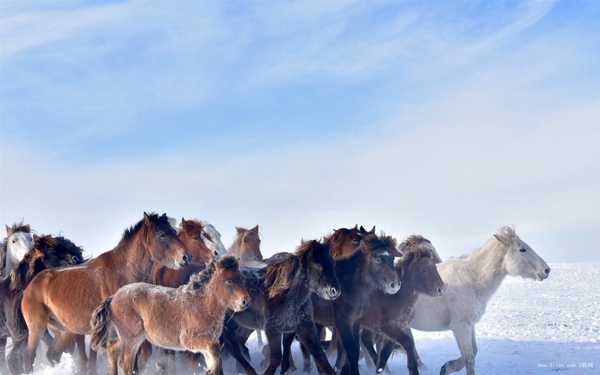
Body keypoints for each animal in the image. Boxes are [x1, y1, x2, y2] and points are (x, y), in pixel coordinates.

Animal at [21, 213, 191, 374]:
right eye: (161, 234)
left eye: (174, 231)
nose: (187, 257)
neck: (123, 272)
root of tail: (31, 285)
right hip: (37, 327)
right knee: (29, 357)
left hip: (64, 331)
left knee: (53, 355)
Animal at [88, 256, 248, 375]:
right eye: (229, 281)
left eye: (241, 278)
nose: (245, 301)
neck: (202, 305)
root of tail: (113, 298)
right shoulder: (190, 340)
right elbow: (215, 352)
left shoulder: (207, 344)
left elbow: (214, 359)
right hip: (132, 339)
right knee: (126, 364)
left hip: (128, 337)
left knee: (112, 349)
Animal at [358, 235, 448, 375]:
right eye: (424, 269)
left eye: (435, 268)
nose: (441, 289)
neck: (395, 297)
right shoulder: (390, 328)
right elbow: (409, 343)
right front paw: (414, 369)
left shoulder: (393, 330)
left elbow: (385, 353)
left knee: (365, 340)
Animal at [410, 225, 552, 374]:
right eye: (522, 249)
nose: (546, 270)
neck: (472, 279)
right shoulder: (461, 327)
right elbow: (469, 358)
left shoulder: (470, 325)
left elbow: (474, 351)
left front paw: (446, 367)